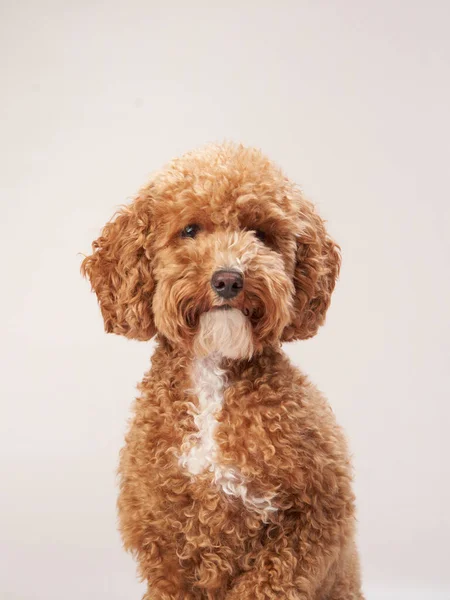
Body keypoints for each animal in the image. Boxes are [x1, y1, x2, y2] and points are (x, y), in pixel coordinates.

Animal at [81, 143, 362, 596]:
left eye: (260, 234)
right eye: (190, 230)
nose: (229, 279)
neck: (213, 372)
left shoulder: (313, 517)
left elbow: (267, 581)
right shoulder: (159, 533)